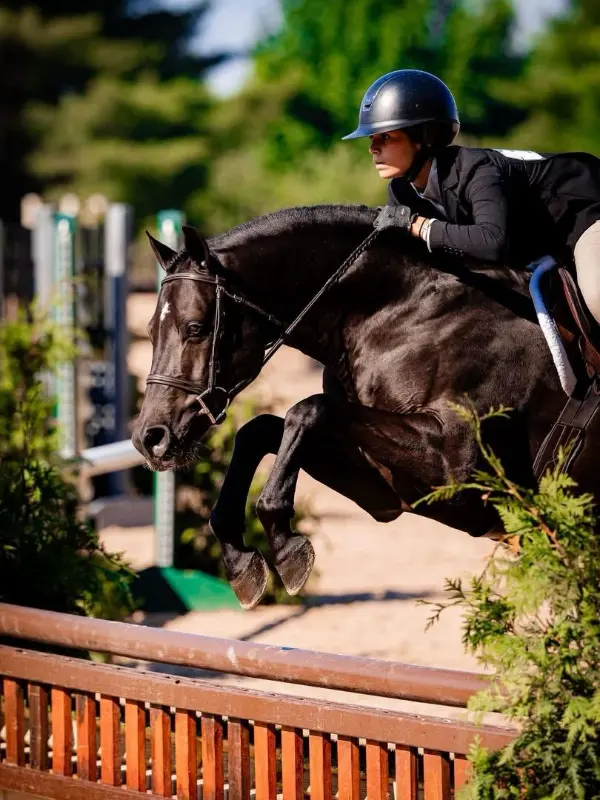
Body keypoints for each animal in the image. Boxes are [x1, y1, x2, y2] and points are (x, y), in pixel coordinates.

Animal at [132, 204, 600, 609]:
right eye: (151, 331)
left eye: (195, 328)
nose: (149, 440)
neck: (397, 315)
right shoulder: (385, 491)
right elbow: (261, 429)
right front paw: (241, 562)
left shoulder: (457, 474)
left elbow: (307, 409)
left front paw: (286, 549)